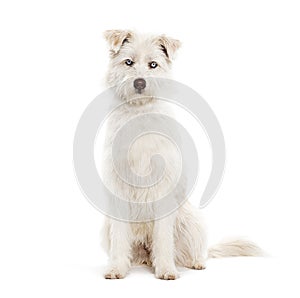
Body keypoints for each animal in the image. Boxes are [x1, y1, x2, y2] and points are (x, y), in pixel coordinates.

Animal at [100, 30, 260, 280]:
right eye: (128, 62)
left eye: (153, 64)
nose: (140, 82)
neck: (140, 114)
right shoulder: (118, 192)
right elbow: (120, 239)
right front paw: (116, 268)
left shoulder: (163, 191)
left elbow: (164, 239)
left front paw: (166, 269)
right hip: (106, 226)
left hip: (191, 220)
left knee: (190, 252)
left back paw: (194, 262)